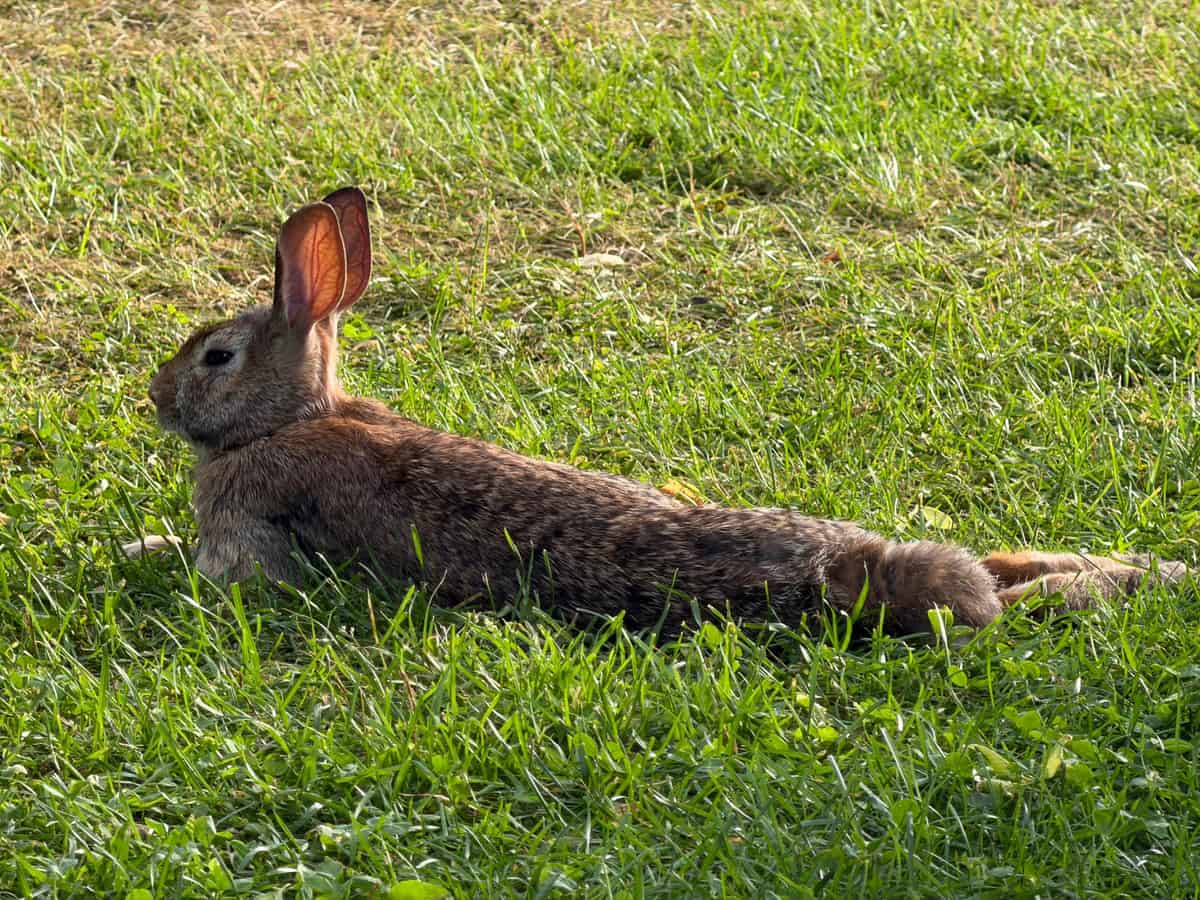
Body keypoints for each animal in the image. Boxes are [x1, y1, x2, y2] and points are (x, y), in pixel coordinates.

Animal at [149, 187, 1190, 636]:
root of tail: (854, 566)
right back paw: (1147, 573)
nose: (154, 396)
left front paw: (148, 551)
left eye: (215, 356)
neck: (288, 418)